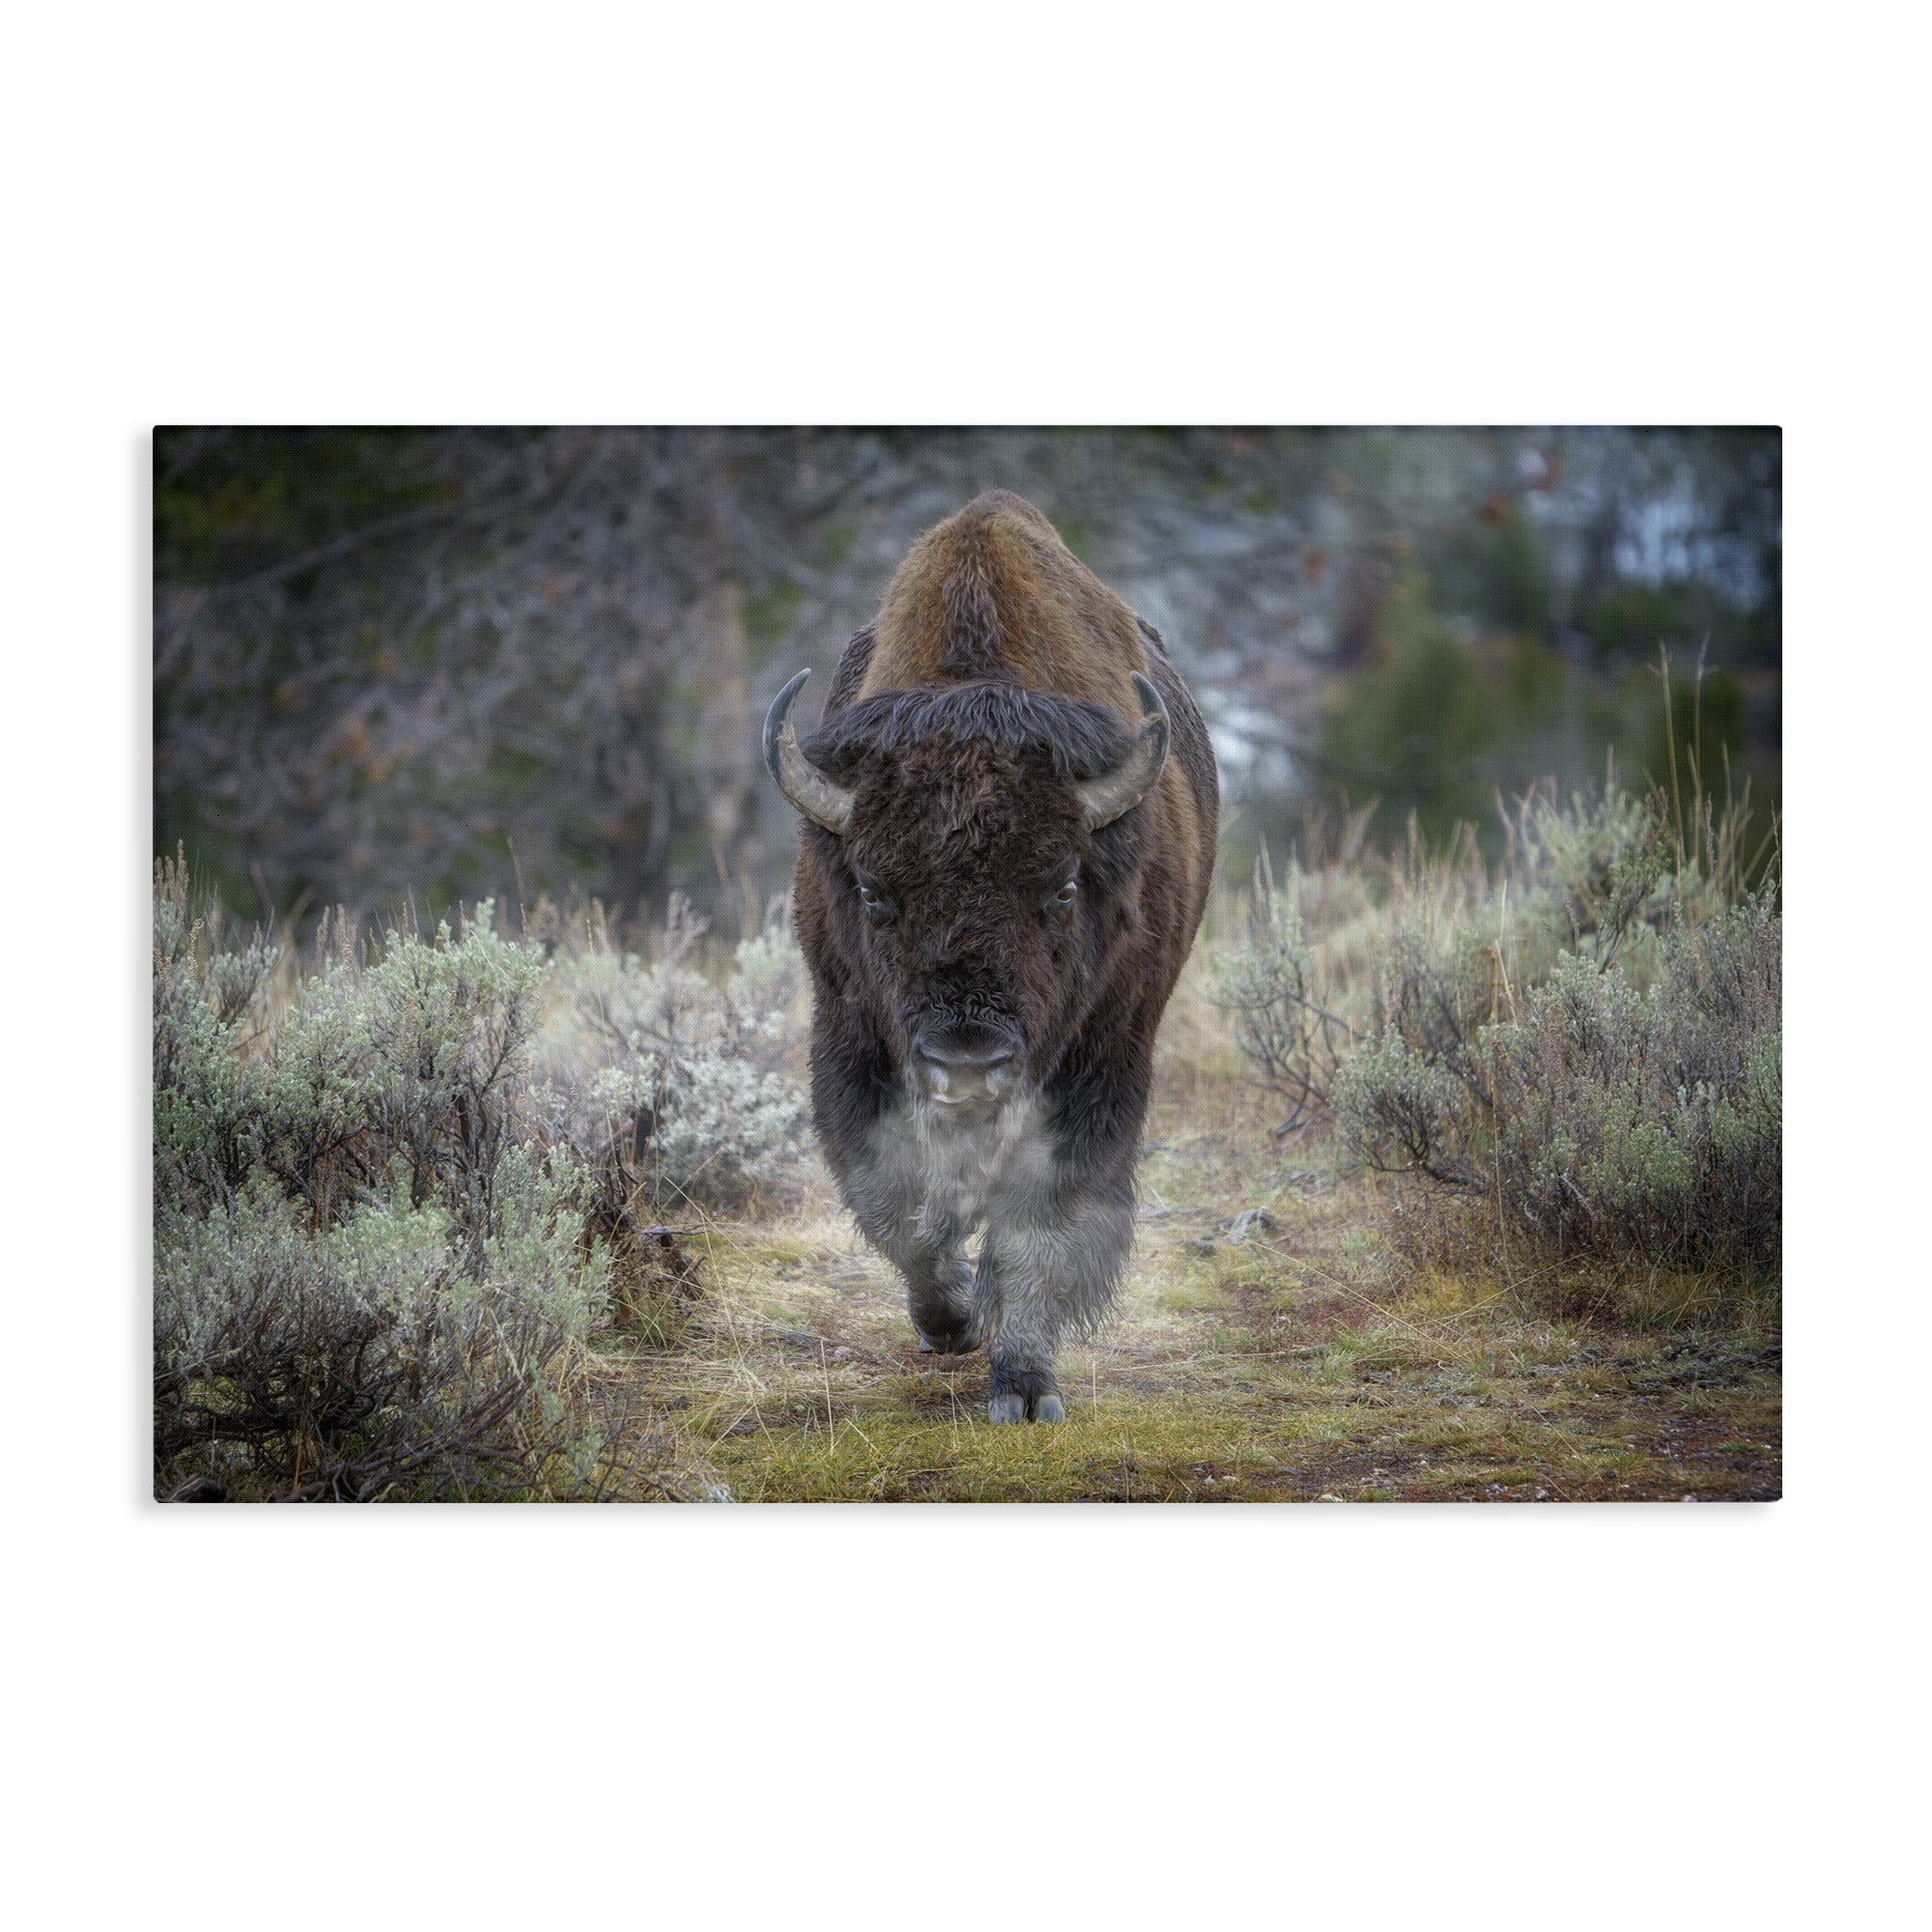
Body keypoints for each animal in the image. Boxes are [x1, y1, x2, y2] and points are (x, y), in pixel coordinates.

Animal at [763, 491, 1217, 1422]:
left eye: (1062, 887)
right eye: (873, 889)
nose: (967, 1064)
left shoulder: (1100, 1061)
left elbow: (1042, 1221)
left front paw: (1024, 1385)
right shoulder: (850, 1038)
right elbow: (899, 1205)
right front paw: (951, 1323)